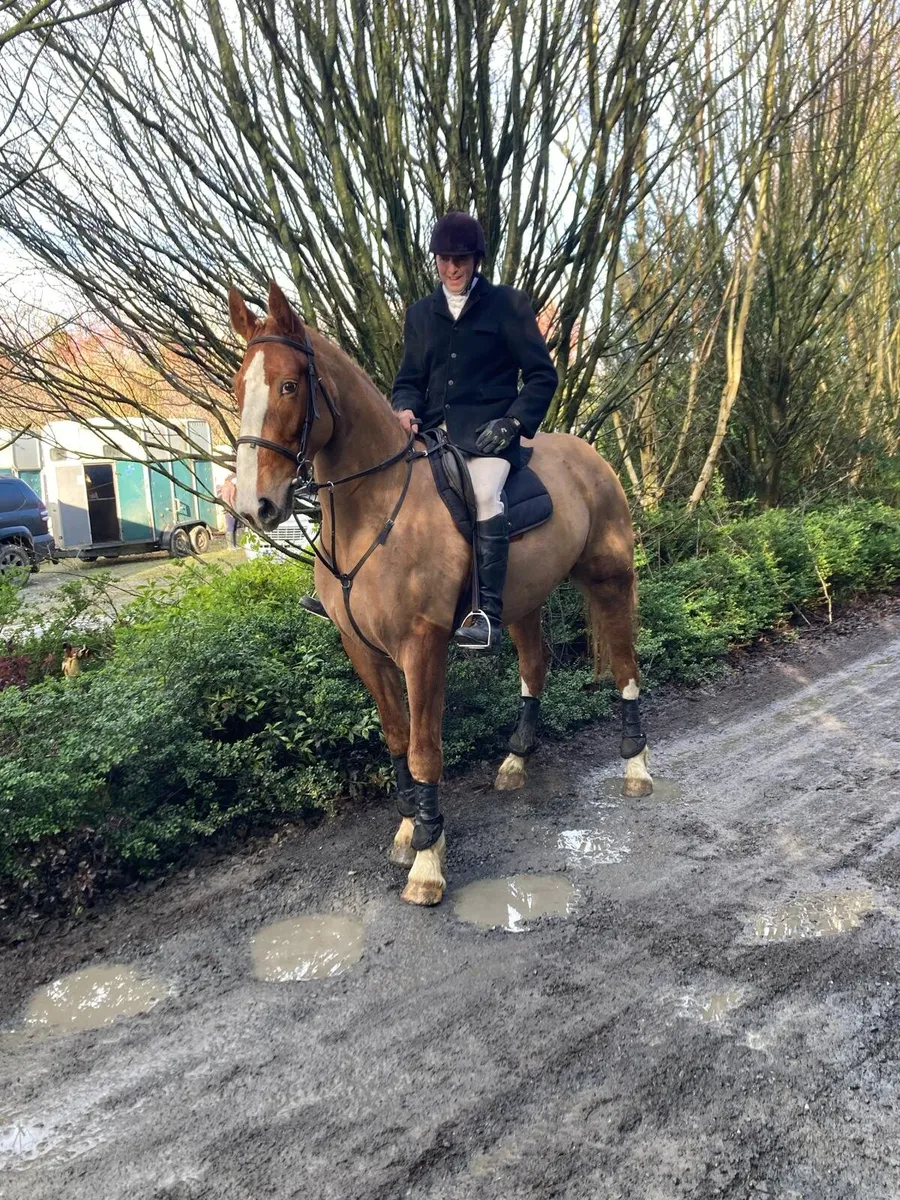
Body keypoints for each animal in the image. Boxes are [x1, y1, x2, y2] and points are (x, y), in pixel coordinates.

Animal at [229, 281, 653, 907]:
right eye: (240, 388)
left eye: (287, 385)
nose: (254, 507)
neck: (372, 508)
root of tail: (590, 455)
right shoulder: (363, 650)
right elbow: (396, 737)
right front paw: (410, 830)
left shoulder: (420, 647)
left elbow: (425, 747)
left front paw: (428, 862)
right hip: (523, 600)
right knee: (535, 666)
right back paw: (515, 760)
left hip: (610, 579)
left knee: (626, 664)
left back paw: (637, 766)